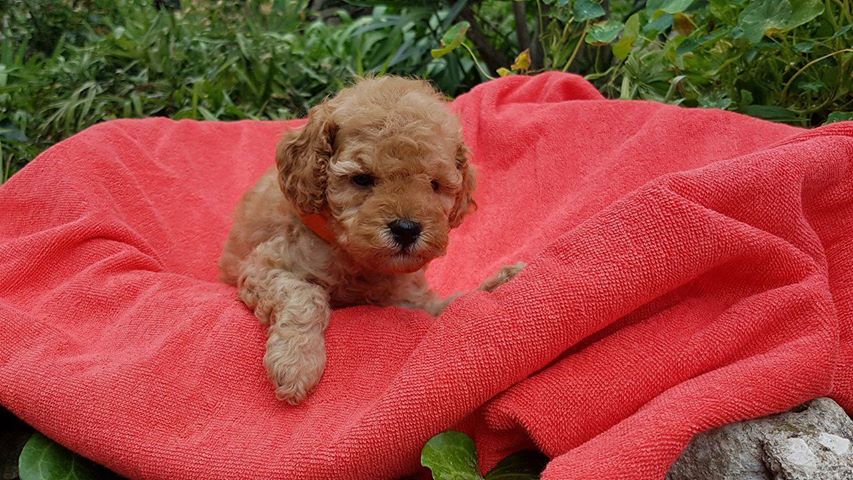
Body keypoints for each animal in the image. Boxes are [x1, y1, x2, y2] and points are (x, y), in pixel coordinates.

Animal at [220, 76, 524, 404]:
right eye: (362, 179)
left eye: (434, 184)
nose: (406, 229)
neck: (355, 258)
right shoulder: (264, 266)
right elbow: (306, 296)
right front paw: (296, 364)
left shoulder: (406, 298)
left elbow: (443, 308)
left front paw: (499, 283)